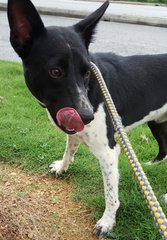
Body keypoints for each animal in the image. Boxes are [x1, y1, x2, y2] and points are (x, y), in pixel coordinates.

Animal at [7, 0, 166, 236]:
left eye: (86, 72)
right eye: (55, 71)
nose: (87, 116)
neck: (92, 90)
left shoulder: (109, 152)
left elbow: (111, 195)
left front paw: (107, 222)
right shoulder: (75, 130)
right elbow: (69, 148)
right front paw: (62, 167)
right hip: (157, 122)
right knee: (165, 149)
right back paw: (152, 167)